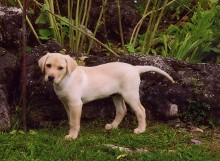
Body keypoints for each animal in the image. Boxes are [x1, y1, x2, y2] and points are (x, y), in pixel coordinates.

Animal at [38, 52, 174, 140]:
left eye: (61, 68)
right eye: (48, 65)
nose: (51, 77)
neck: (65, 80)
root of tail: (134, 68)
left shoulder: (76, 104)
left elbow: (75, 122)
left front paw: (72, 136)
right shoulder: (66, 104)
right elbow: (71, 120)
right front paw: (71, 132)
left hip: (130, 94)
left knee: (141, 110)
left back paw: (140, 129)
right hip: (117, 95)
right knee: (121, 110)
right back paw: (113, 126)